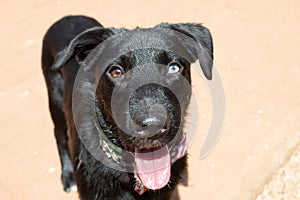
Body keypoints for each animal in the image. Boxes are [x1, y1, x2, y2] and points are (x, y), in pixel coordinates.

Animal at [41, 14, 213, 199]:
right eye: (116, 71)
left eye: (174, 67)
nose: (152, 126)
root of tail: (69, 17)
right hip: (55, 101)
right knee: (59, 136)